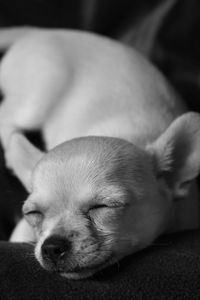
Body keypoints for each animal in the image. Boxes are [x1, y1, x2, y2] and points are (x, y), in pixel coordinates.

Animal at [0, 27, 200, 280]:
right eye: (33, 213)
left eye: (103, 207)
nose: (52, 246)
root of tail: (41, 32)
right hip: (35, 100)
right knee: (6, 114)